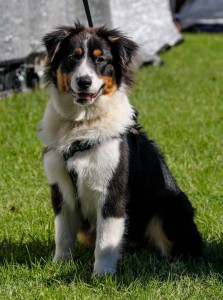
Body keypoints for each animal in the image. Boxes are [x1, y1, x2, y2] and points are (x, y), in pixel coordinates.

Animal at [39, 22, 203, 276]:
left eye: (101, 59)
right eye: (72, 57)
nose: (84, 81)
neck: (81, 125)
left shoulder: (112, 190)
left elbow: (106, 241)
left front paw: (102, 276)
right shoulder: (61, 189)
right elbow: (63, 235)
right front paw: (59, 265)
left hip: (166, 211)